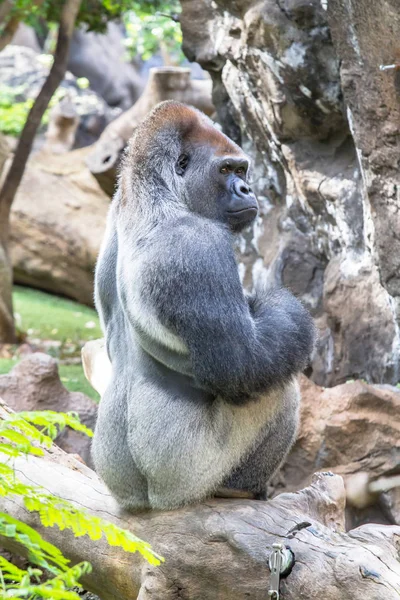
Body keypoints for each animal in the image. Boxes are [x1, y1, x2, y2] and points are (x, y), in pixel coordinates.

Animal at [91, 99, 316, 510]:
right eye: (226, 170)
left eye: (241, 170)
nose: (245, 188)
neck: (152, 192)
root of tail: (145, 502)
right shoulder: (197, 244)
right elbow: (245, 366)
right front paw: (287, 307)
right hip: (184, 478)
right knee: (279, 390)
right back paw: (239, 488)